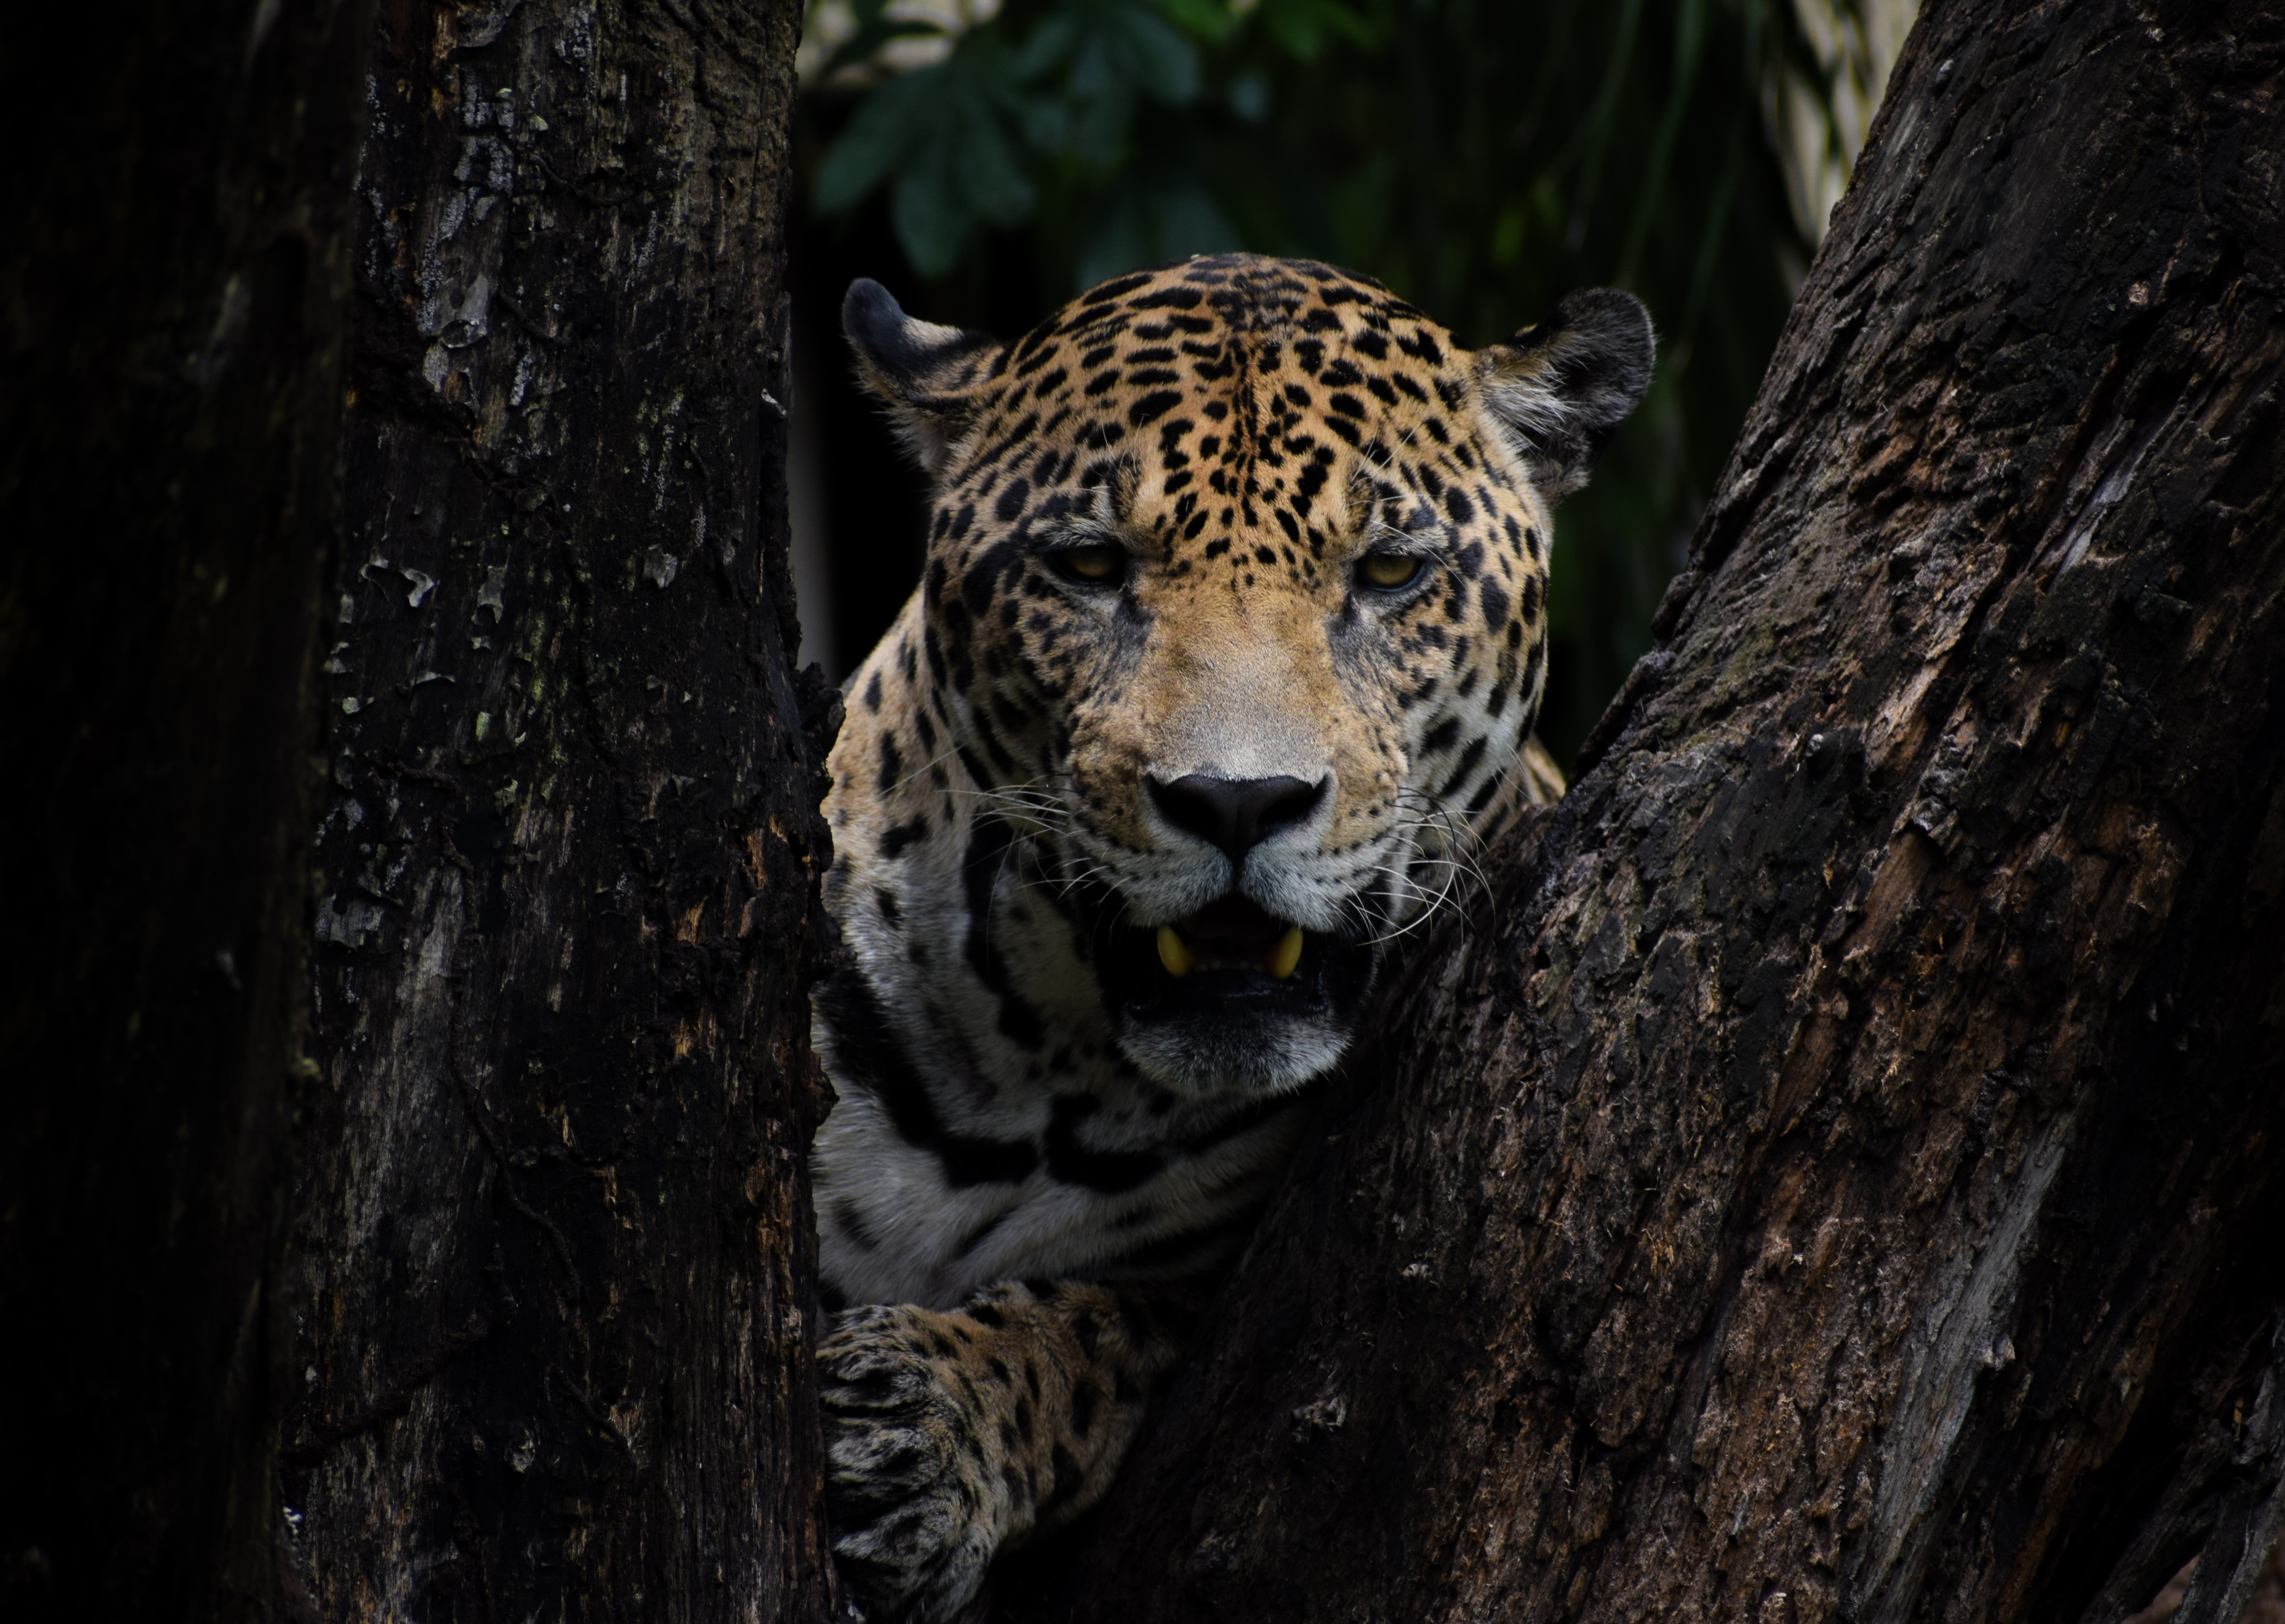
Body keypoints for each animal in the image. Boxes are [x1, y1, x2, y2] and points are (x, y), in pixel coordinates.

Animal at [809, 252, 1651, 1621]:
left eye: (1389, 573)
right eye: (1089, 564)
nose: (1239, 799)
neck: (1032, 1071)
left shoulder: (1224, 1306)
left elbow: (1088, 1335)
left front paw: (916, 1428)